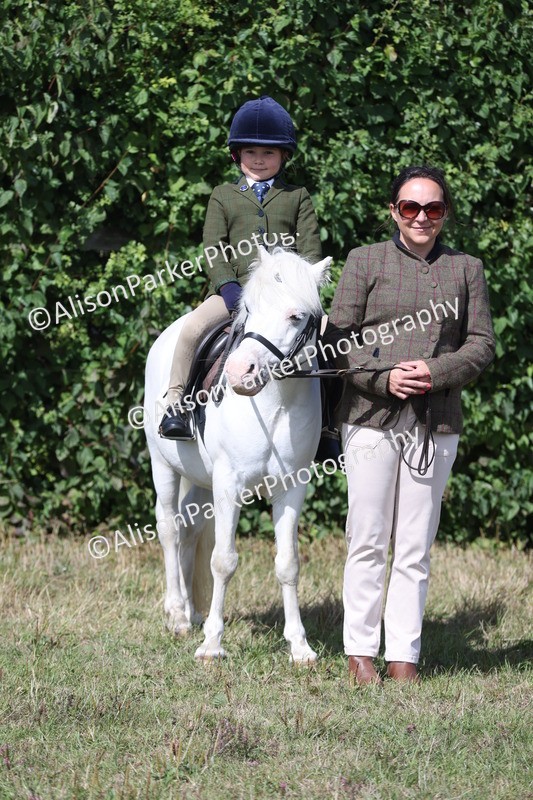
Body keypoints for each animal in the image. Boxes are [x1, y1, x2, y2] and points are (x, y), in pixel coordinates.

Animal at [144, 246, 332, 663]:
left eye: (296, 316)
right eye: (248, 308)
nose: (238, 371)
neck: (274, 404)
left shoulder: (291, 487)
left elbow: (288, 564)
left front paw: (300, 647)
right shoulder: (229, 484)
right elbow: (224, 561)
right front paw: (212, 644)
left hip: (200, 479)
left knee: (189, 530)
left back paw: (191, 612)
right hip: (163, 465)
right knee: (168, 528)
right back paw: (177, 615)